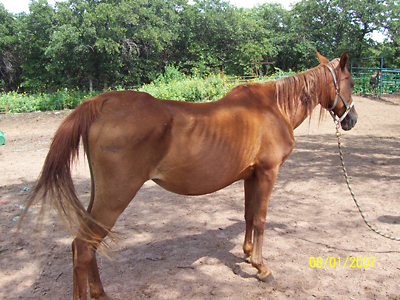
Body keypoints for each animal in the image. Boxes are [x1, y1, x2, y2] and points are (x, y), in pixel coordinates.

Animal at [23, 50, 358, 298]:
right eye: (351, 82)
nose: (351, 119)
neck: (273, 107)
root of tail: (100, 102)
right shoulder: (267, 173)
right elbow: (261, 219)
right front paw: (261, 267)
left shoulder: (251, 176)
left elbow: (249, 215)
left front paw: (247, 253)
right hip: (116, 197)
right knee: (83, 247)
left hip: (101, 196)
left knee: (86, 245)